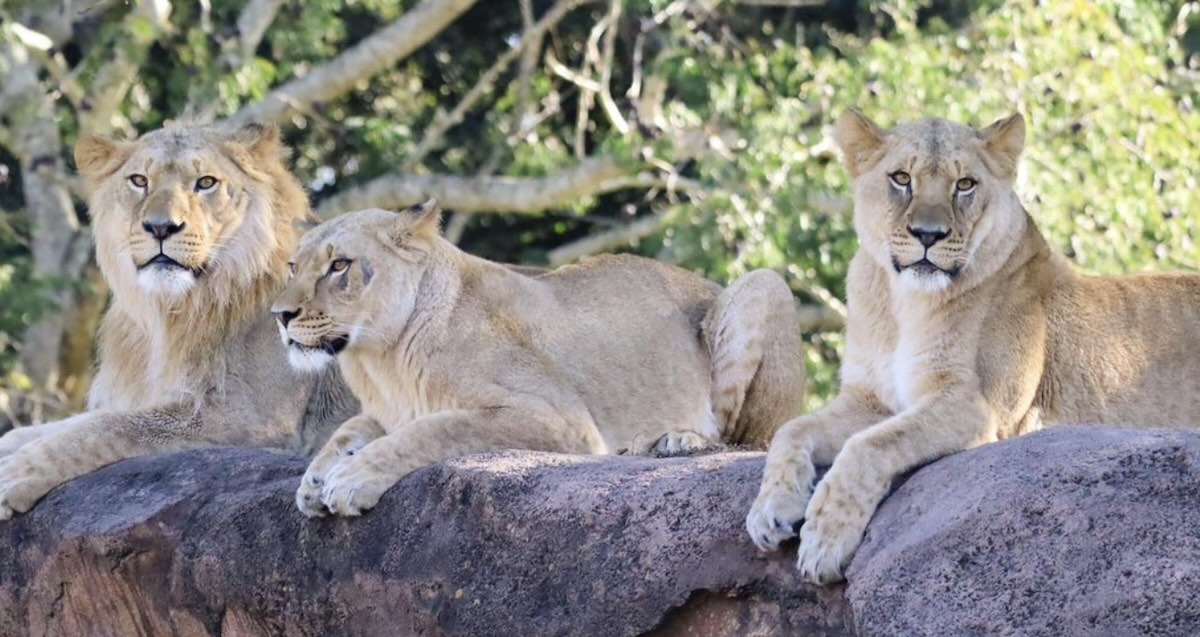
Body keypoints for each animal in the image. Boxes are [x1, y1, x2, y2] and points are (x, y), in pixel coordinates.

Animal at [0, 119, 357, 518]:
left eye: (206, 182)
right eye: (139, 180)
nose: (160, 227)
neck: (172, 312)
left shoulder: (254, 418)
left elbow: (109, 427)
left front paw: (16, 473)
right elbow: (51, 427)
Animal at [267, 202, 801, 518]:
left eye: (340, 266)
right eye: (293, 266)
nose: (280, 315)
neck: (380, 360)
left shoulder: (558, 420)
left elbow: (434, 429)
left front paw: (351, 478)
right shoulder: (385, 409)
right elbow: (349, 429)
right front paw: (315, 478)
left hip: (763, 283)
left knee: (749, 438)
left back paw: (676, 440)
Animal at [744, 109, 1200, 583]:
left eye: (964, 184)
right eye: (901, 178)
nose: (928, 234)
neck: (905, 303)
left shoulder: (978, 407)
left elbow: (870, 446)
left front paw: (824, 539)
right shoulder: (870, 400)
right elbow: (792, 429)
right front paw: (770, 510)